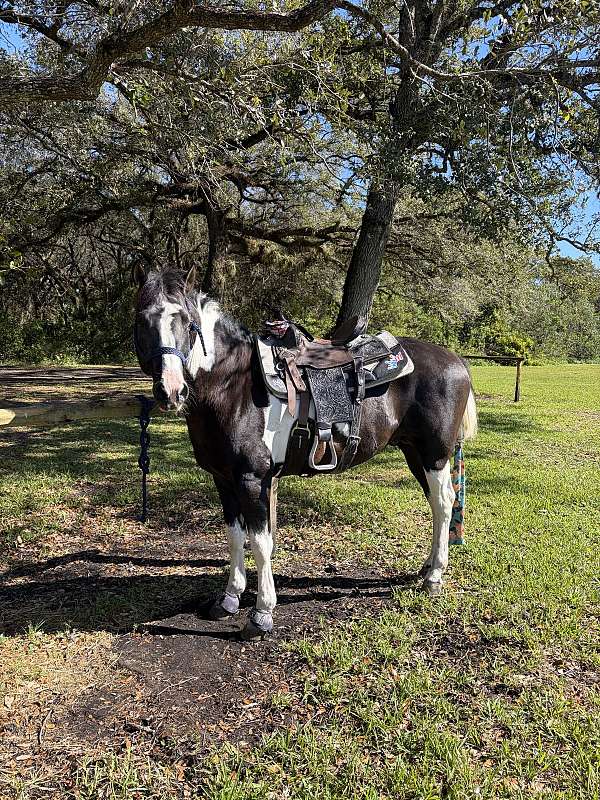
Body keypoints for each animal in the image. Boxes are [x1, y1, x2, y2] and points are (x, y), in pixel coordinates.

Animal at [133, 265, 477, 640]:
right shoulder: (224, 480)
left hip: (435, 455)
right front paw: (228, 600)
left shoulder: (253, 480)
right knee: (436, 505)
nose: (171, 391)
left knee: (444, 502)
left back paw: (434, 577)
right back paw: (427, 567)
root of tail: (455, 361)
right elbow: (235, 537)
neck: (232, 387)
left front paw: (261, 615)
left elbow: (260, 543)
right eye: (142, 319)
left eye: (185, 321)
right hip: (414, 453)